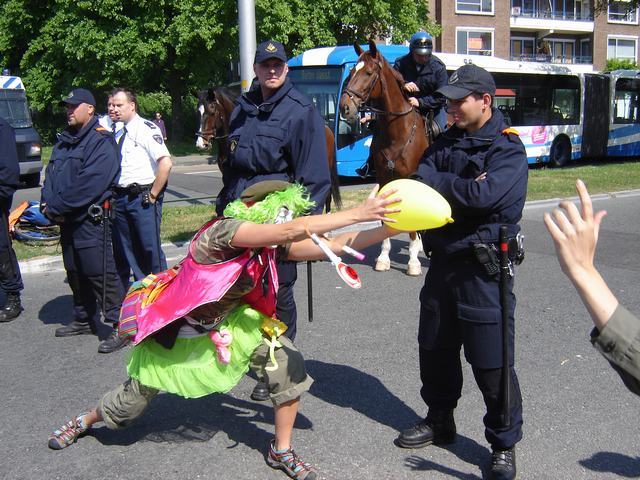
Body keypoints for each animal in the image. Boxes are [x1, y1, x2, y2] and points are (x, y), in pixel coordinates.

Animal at [340, 40, 430, 276]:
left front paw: (413, 262)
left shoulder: (410, 180)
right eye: (351, 72)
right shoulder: (383, 179)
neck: (397, 132)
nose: (345, 107)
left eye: (369, 72)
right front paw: (383, 257)